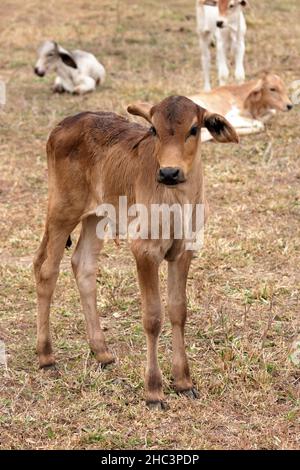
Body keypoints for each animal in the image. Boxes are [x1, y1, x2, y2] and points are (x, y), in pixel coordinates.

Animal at [34, 95, 238, 408]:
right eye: (153, 129)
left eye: (193, 129)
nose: (169, 172)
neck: (177, 203)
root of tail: (66, 123)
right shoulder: (144, 250)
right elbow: (153, 317)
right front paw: (153, 390)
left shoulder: (184, 251)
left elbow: (178, 310)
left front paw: (183, 382)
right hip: (62, 208)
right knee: (46, 269)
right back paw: (46, 356)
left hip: (97, 216)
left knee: (83, 265)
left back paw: (102, 351)